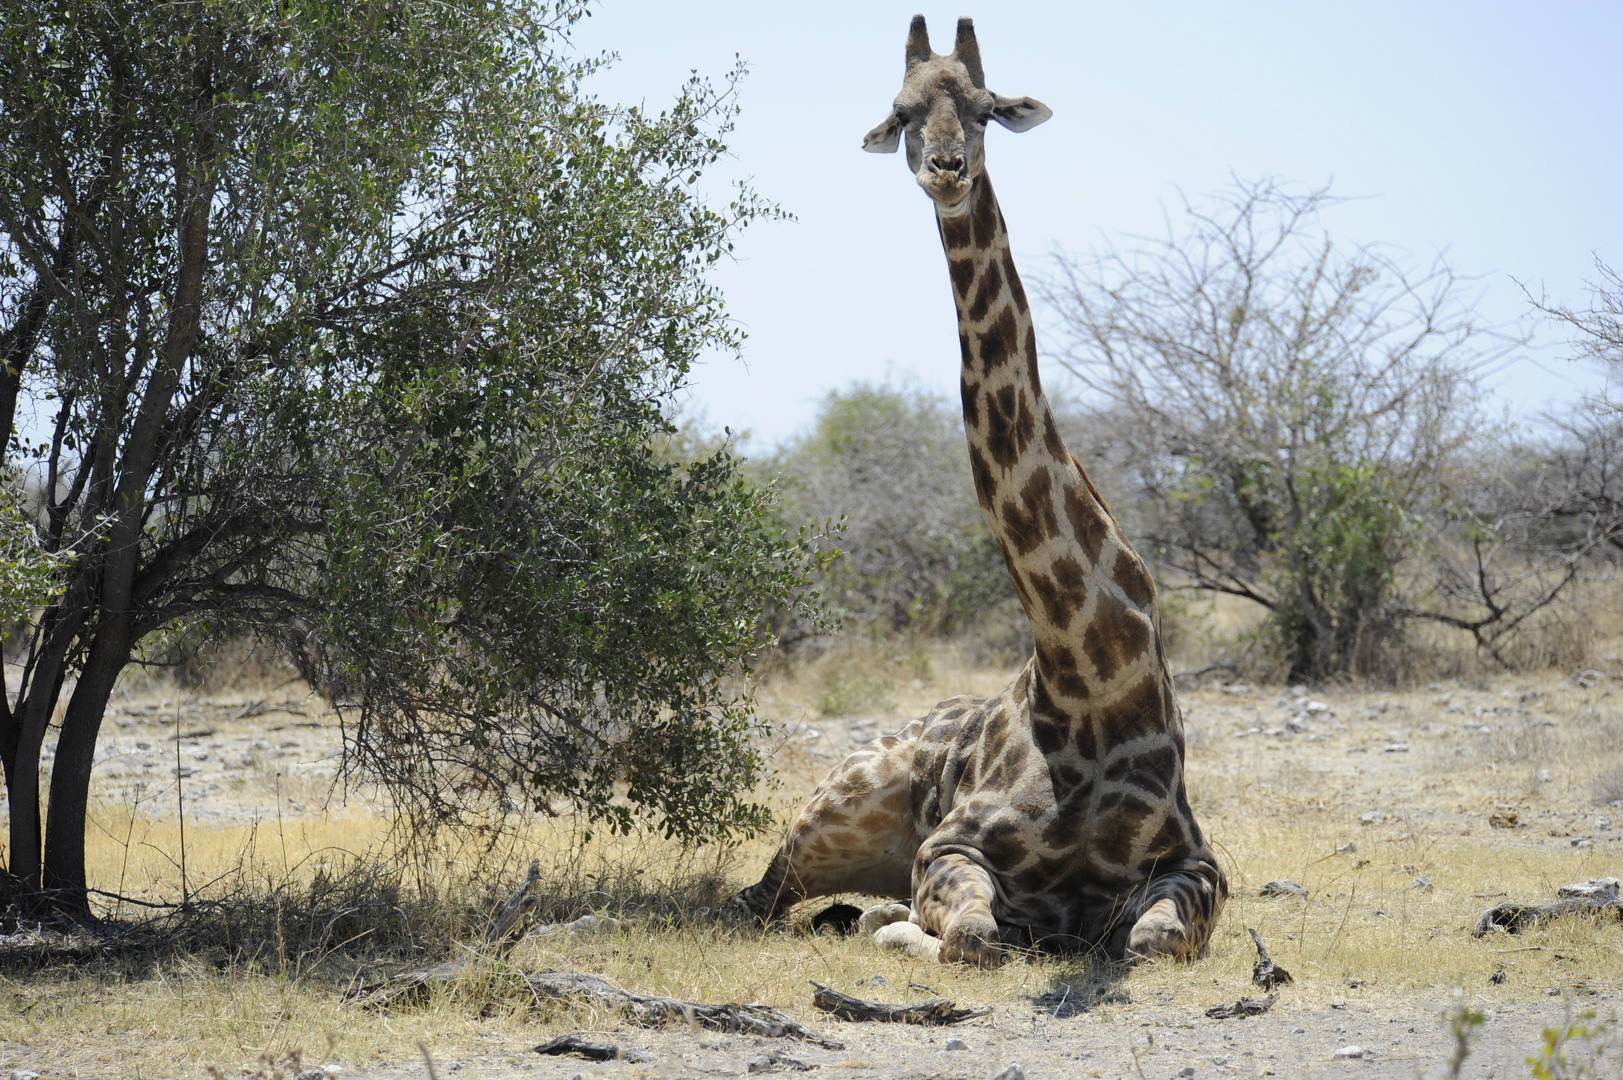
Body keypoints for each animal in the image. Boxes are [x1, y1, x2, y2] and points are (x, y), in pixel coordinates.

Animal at [717, 14, 1220, 961]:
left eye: (986, 107)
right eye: (899, 111)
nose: (947, 169)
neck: (1087, 673)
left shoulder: (1195, 863)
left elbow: (1148, 940)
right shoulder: (948, 846)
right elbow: (971, 936)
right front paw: (921, 931)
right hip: (826, 815)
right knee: (751, 901)